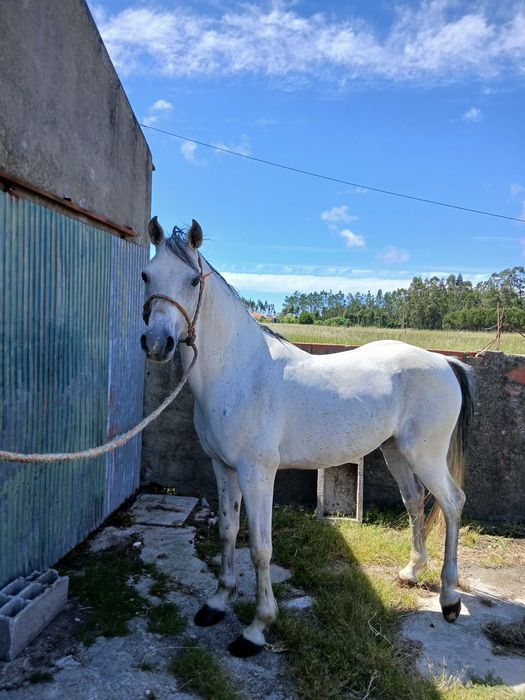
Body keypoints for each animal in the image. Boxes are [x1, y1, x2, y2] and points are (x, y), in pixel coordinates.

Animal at [140, 217, 473, 658]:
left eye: (193, 280)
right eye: (147, 275)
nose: (156, 343)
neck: (240, 372)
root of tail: (444, 361)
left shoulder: (257, 473)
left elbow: (260, 548)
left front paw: (256, 629)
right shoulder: (223, 467)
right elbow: (227, 531)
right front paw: (216, 603)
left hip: (426, 456)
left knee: (452, 503)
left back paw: (449, 600)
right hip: (396, 452)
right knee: (415, 502)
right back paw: (410, 572)